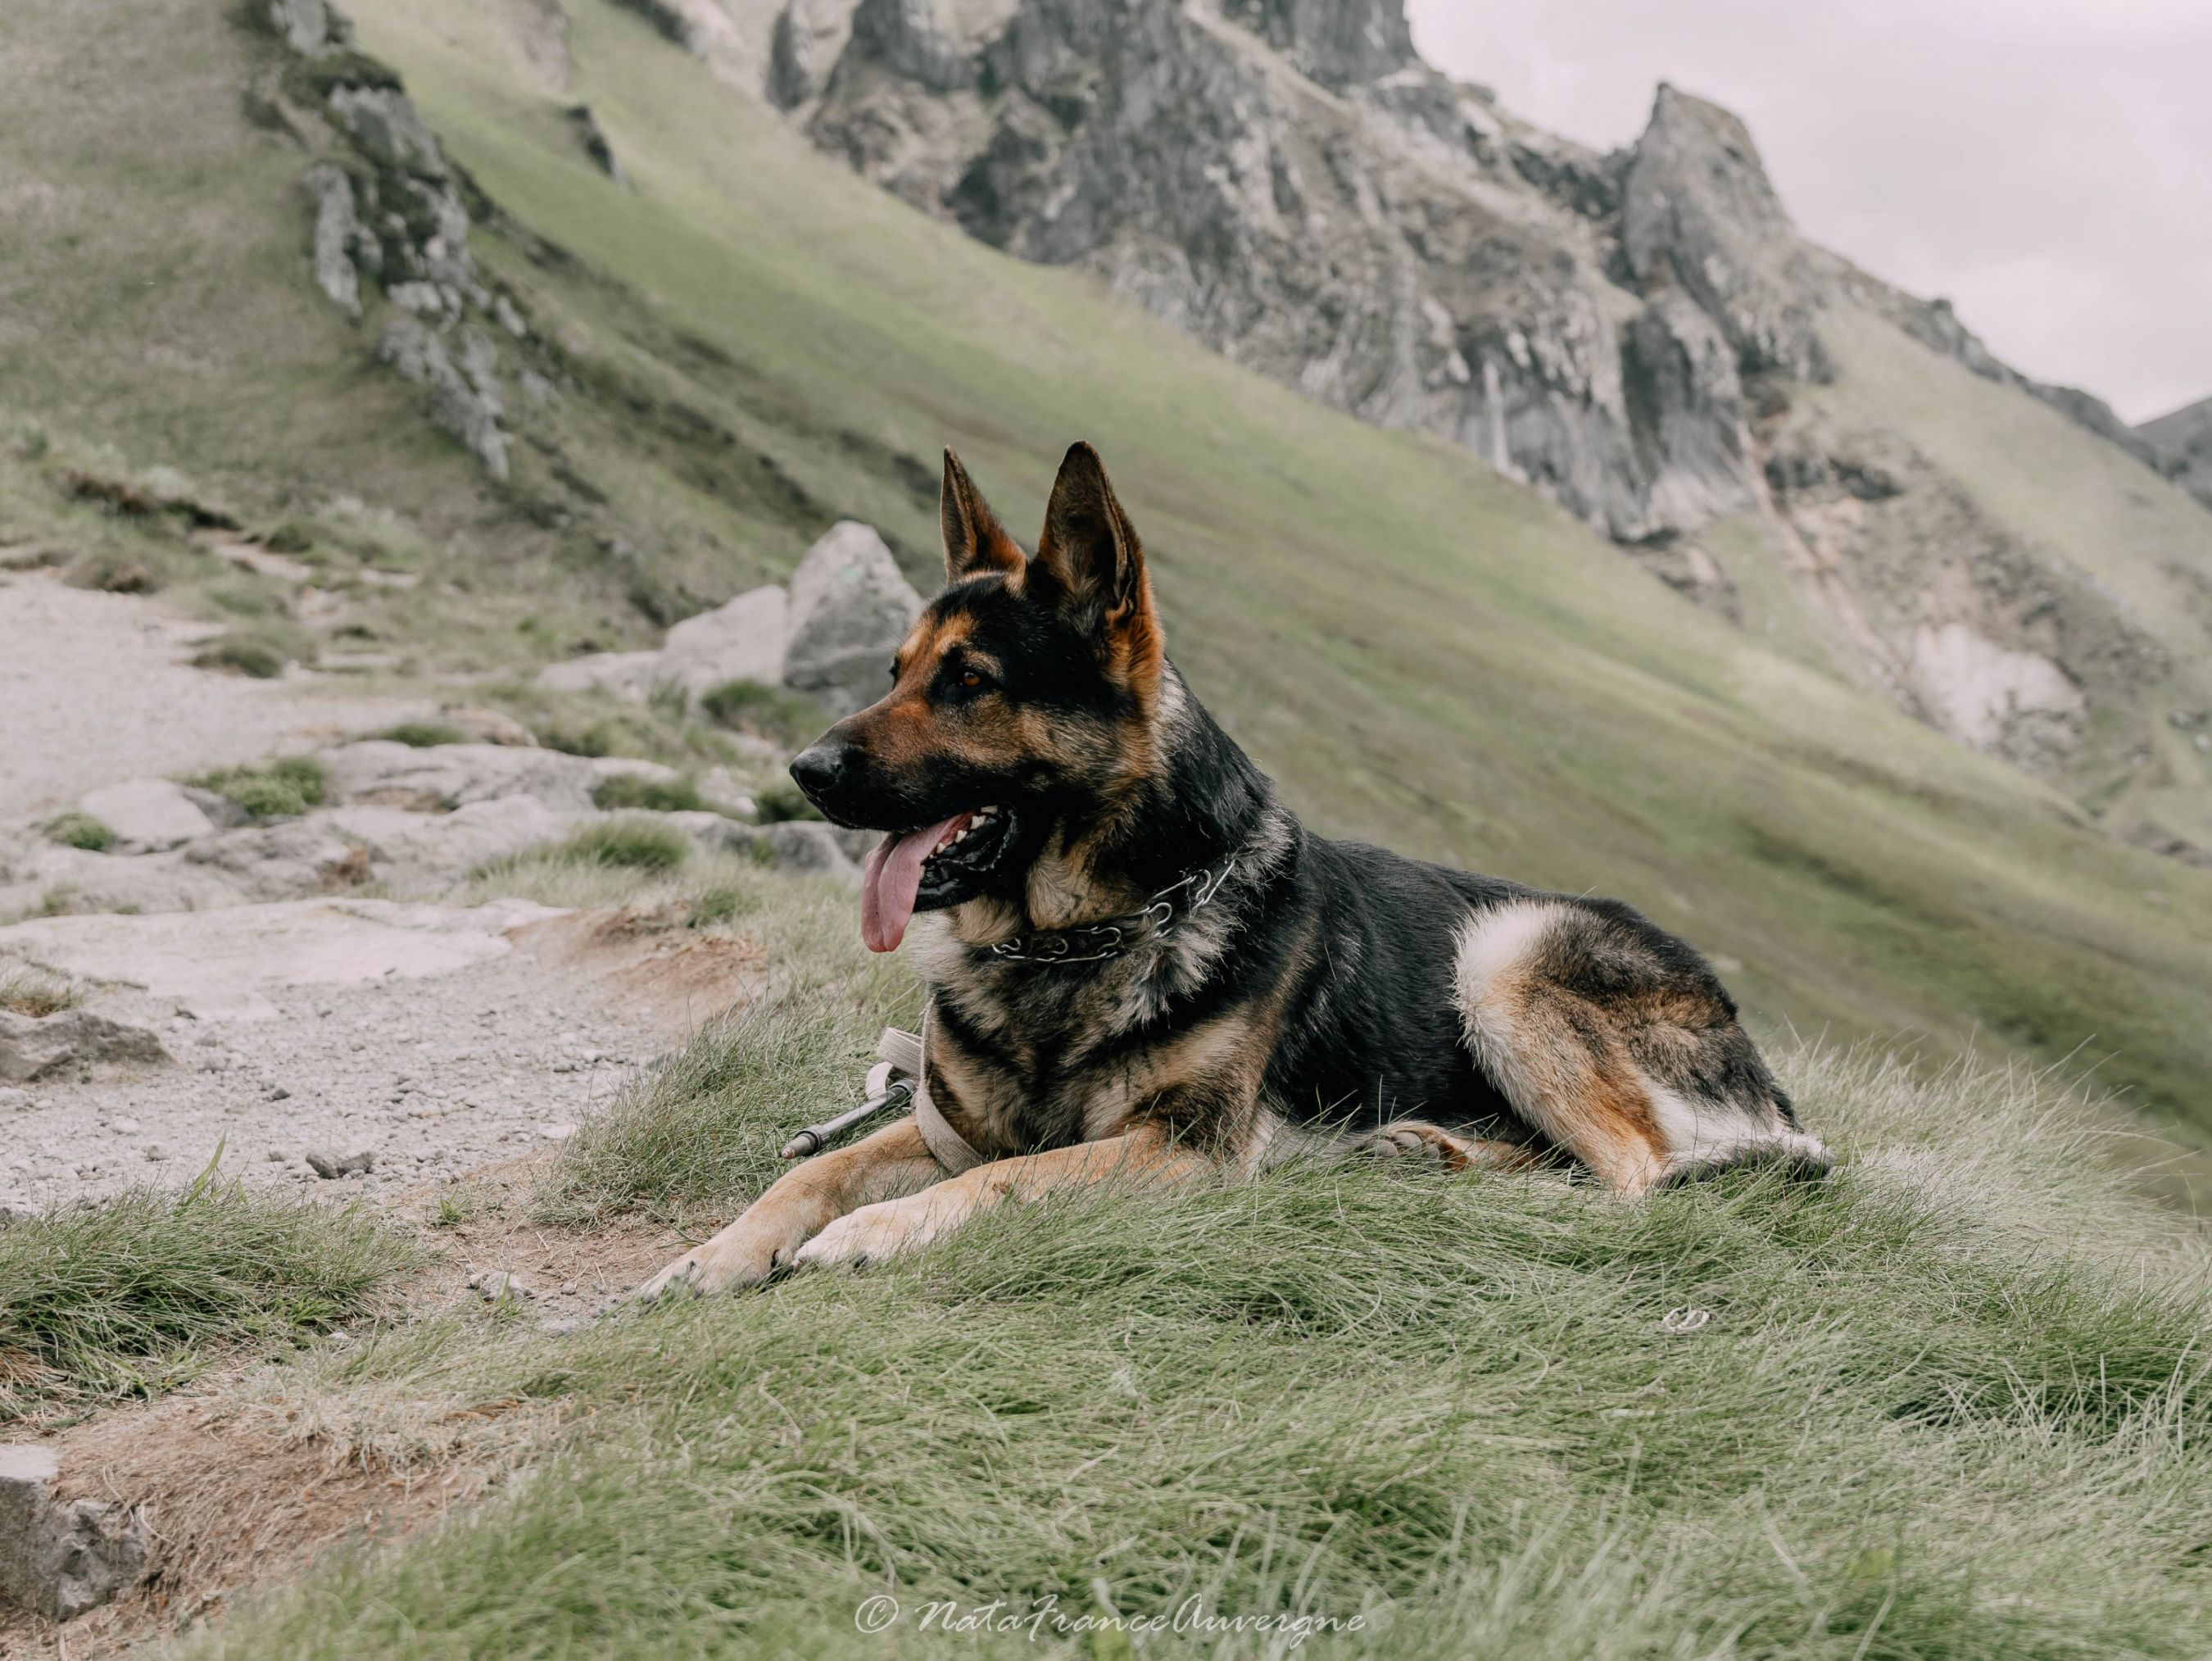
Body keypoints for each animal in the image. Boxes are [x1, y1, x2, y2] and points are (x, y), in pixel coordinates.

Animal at [641, 444, 1831, 1300]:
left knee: (1637, 1175)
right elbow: (814, 1166)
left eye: (970, 680)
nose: (805, 769)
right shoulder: (946, 1121)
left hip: (1503, 954)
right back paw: (1429, 1155)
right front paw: (714, 1251)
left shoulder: (1179, 1147)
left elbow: (1010, 1176)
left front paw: (874, 1232)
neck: (1079, 934)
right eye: (893, 671)